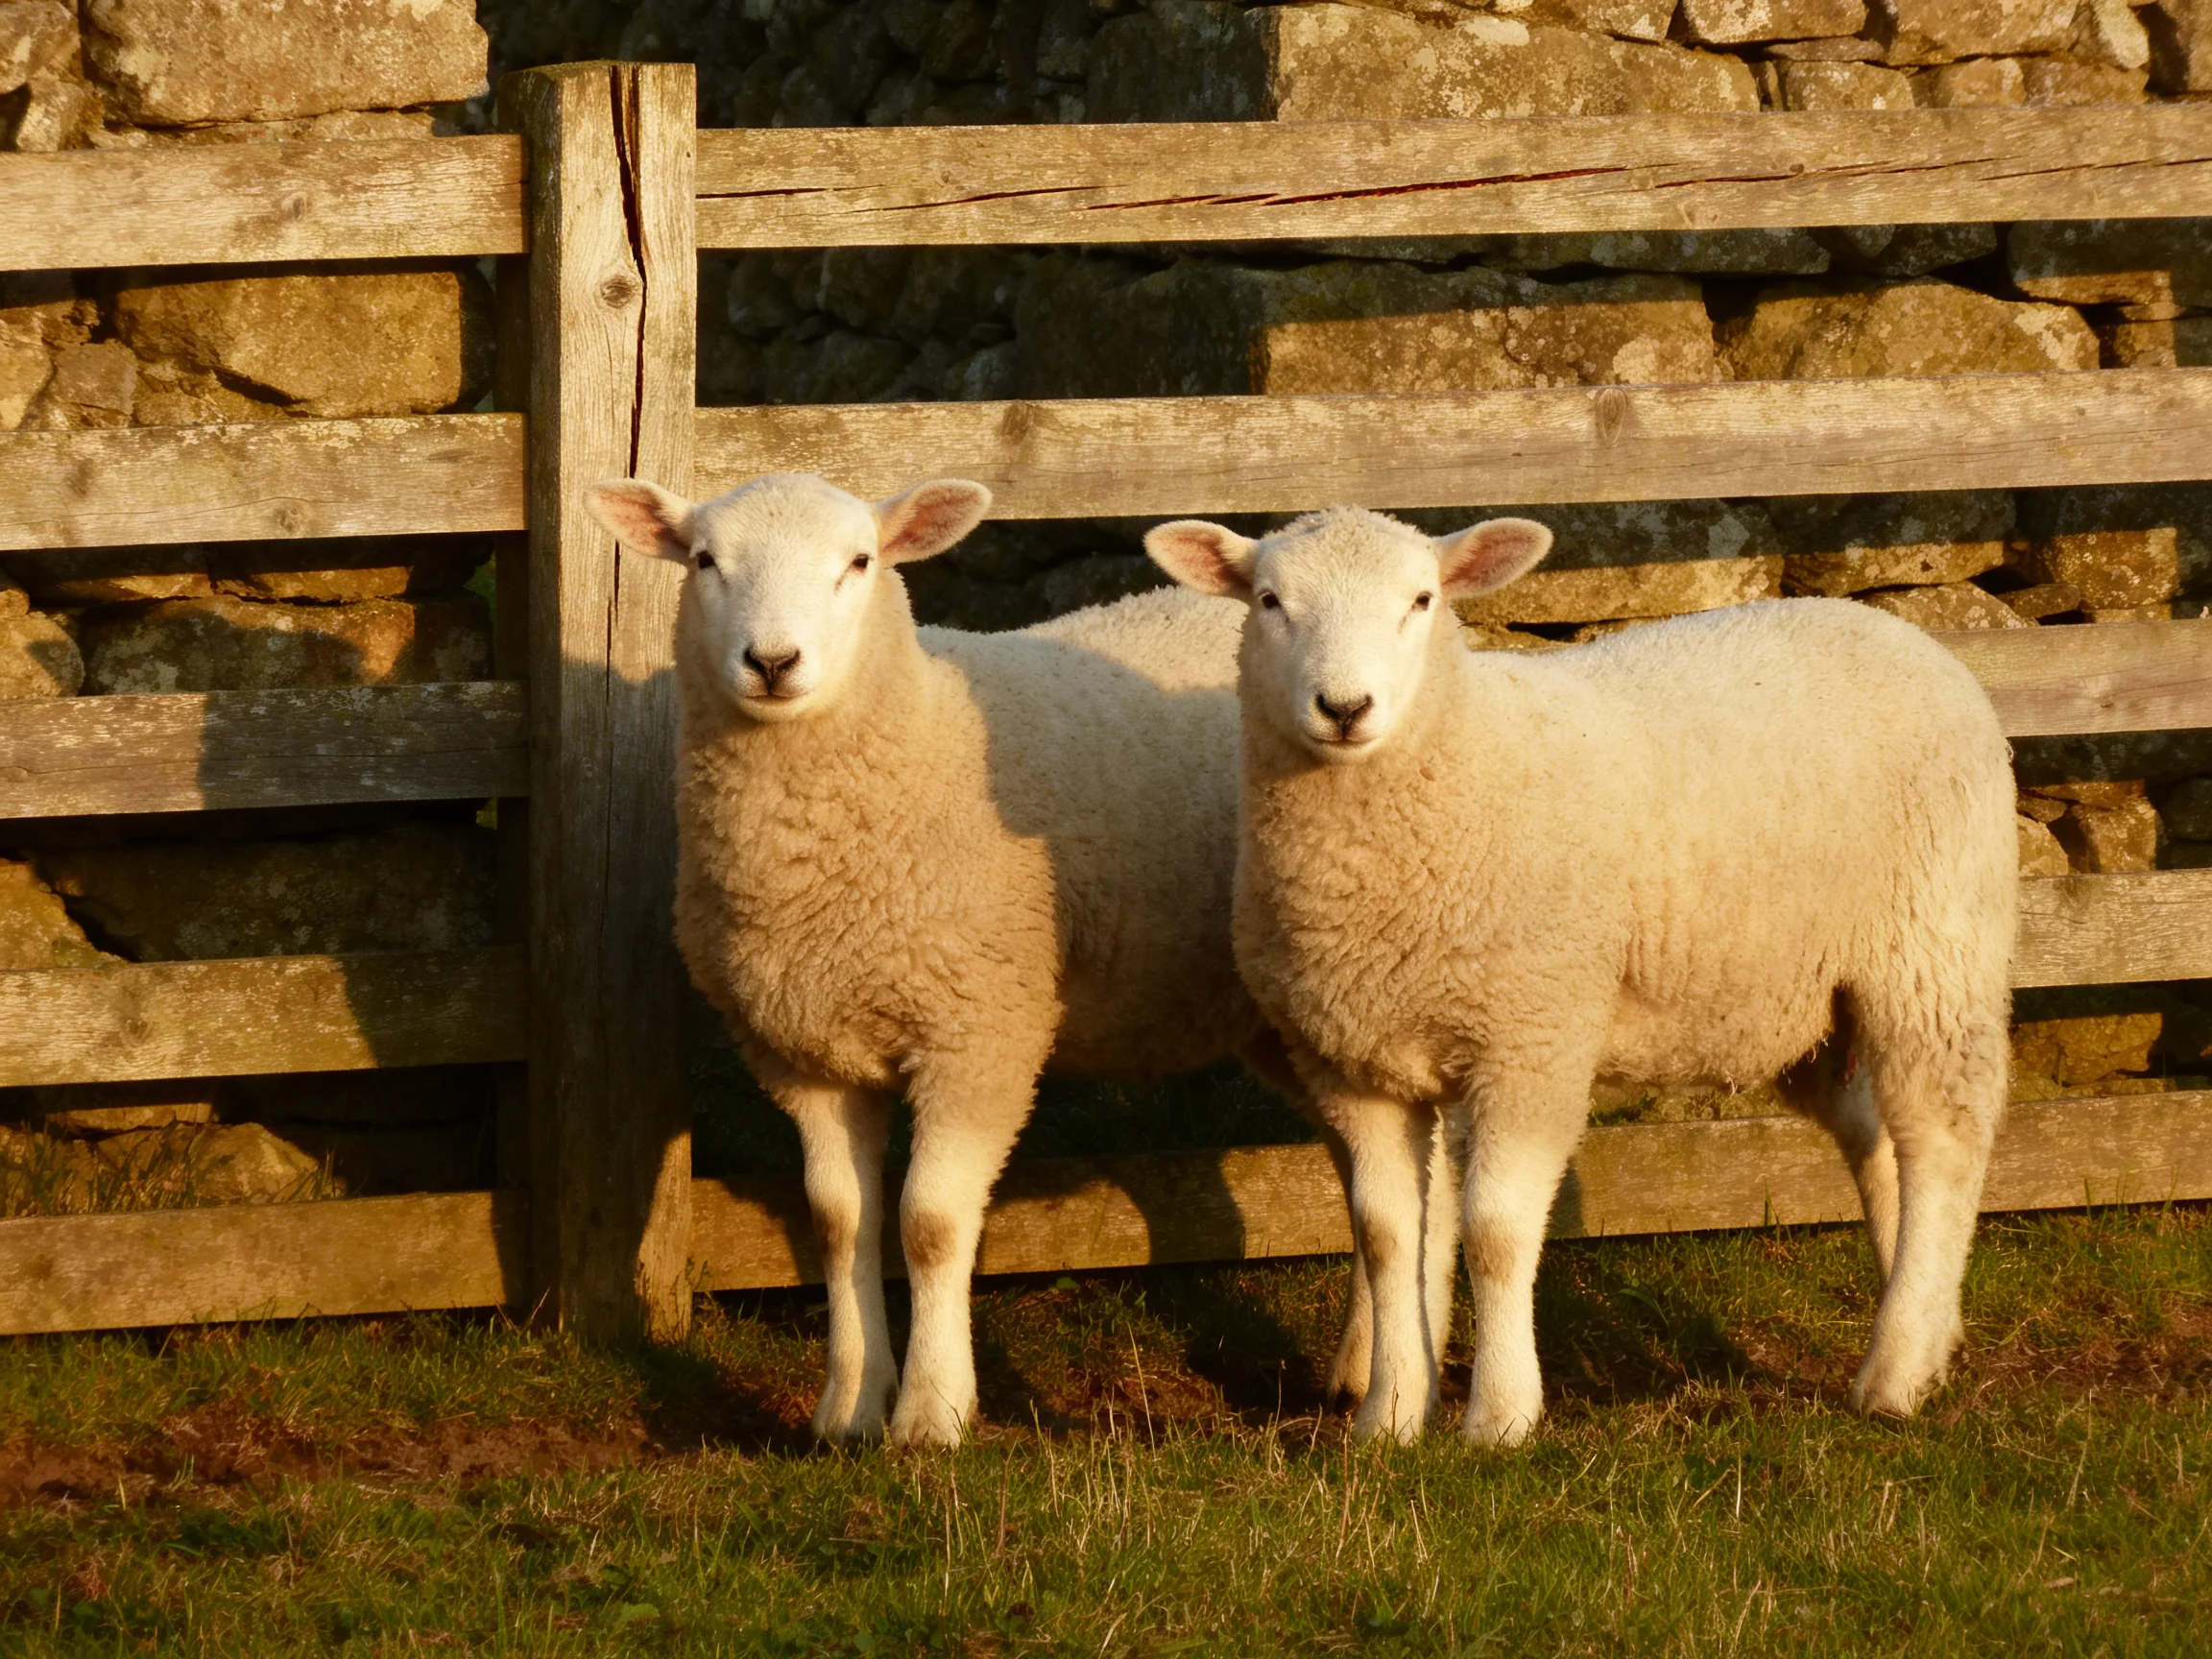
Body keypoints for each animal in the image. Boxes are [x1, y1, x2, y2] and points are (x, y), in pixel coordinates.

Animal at [581, 472, 1431, 1447]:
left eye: (859, 562)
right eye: (704, 561)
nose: (772, 661)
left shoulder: (979, 1033)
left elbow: (930, 1224)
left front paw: (932, 1414)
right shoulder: (805, 1055)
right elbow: (840, 1222)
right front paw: (849, 1410)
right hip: (1299, 1015)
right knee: (1375, 1171)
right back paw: (1365, 1368)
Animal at [1145, 505, 2017, 1446]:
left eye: (1421, 600)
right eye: (1270, 601)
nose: (1345, 708)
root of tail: (1901, 632)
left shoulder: (1532, 1042)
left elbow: (1494, 1232)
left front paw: (1500, 1419)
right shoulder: (1353, 1064)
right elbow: (1386, 1235)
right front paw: (1389, 1419)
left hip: (1935, 952)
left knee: (1943, 1142)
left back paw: (1894, 1374)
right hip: (1805, 1000)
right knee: (1880, 1146)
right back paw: (1930, 1333)